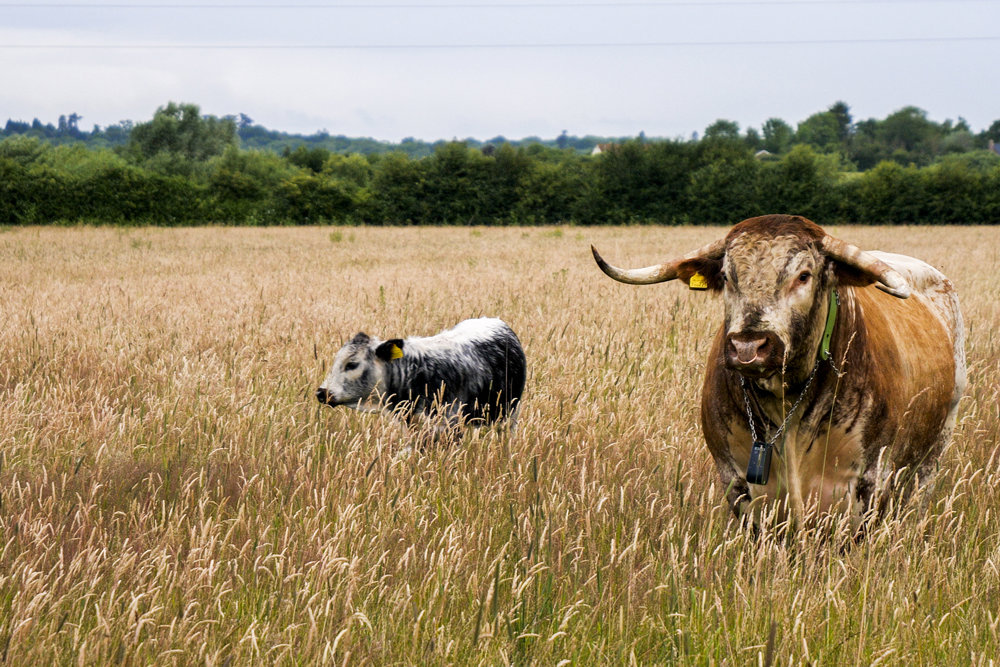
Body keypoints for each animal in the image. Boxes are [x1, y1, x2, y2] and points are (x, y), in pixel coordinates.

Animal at [592, 214, 965, 535]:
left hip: (933, 451)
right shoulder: (737, 482)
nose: (748, 346)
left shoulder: (866, 481)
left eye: (803, 276)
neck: (787, 405)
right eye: (727, 277)